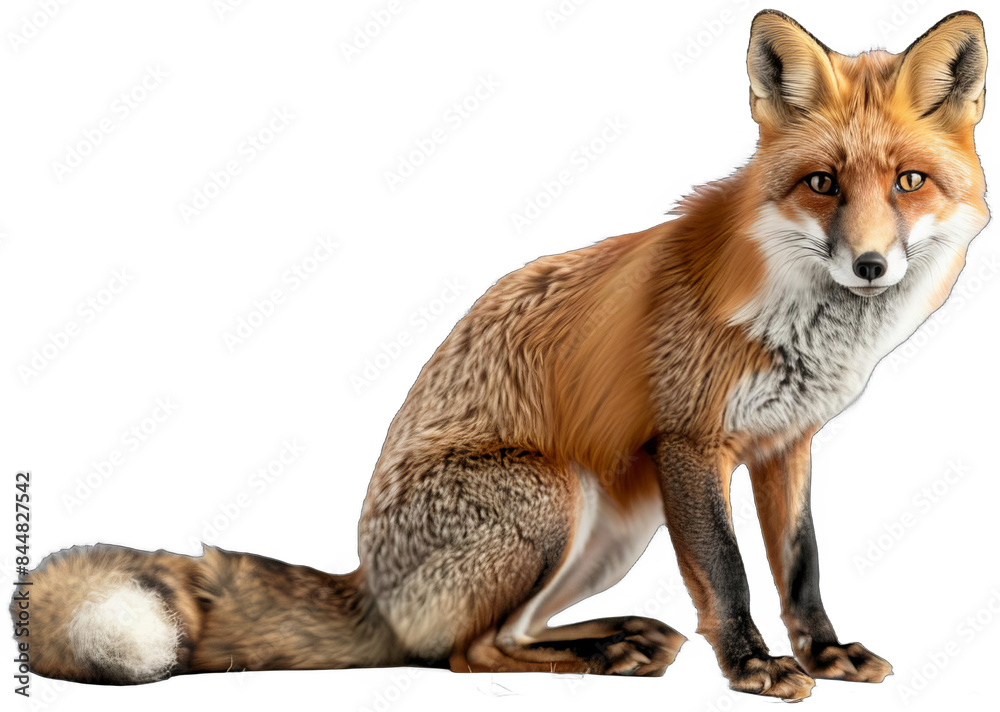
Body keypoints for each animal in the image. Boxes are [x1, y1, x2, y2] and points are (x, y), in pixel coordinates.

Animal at [11, 10, 989, 701]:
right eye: (822, 183)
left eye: (909, 182)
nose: (870, 265)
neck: (798, 319)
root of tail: (369, 583)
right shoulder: (690, 440)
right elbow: (729, 573)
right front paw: (754, 669)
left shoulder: (787, 443)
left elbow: (801, 566)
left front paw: (824, 654)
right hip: (554, 497)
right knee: (461, 654)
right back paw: (598, 656)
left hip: (614, 526)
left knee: (500, 637)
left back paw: (617, 641)